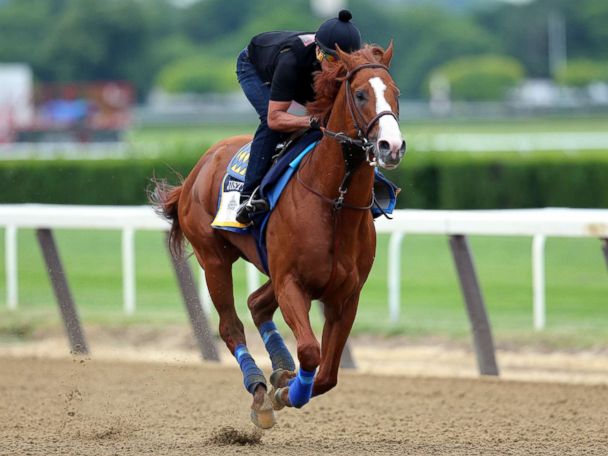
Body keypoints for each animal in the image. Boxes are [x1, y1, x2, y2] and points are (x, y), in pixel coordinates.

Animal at [151, 43, 406, 428]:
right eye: (361, 94)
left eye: (396, 92)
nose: (392, 145)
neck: (334, 203)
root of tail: (200, 166)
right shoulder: (291, 282)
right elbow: (311, 352)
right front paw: (285, 394)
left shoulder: (346, 296)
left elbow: (327, 375)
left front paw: (288, 383)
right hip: (214, 260)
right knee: (231, 326)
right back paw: (259, 390)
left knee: (257, 304)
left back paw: (280, 369)